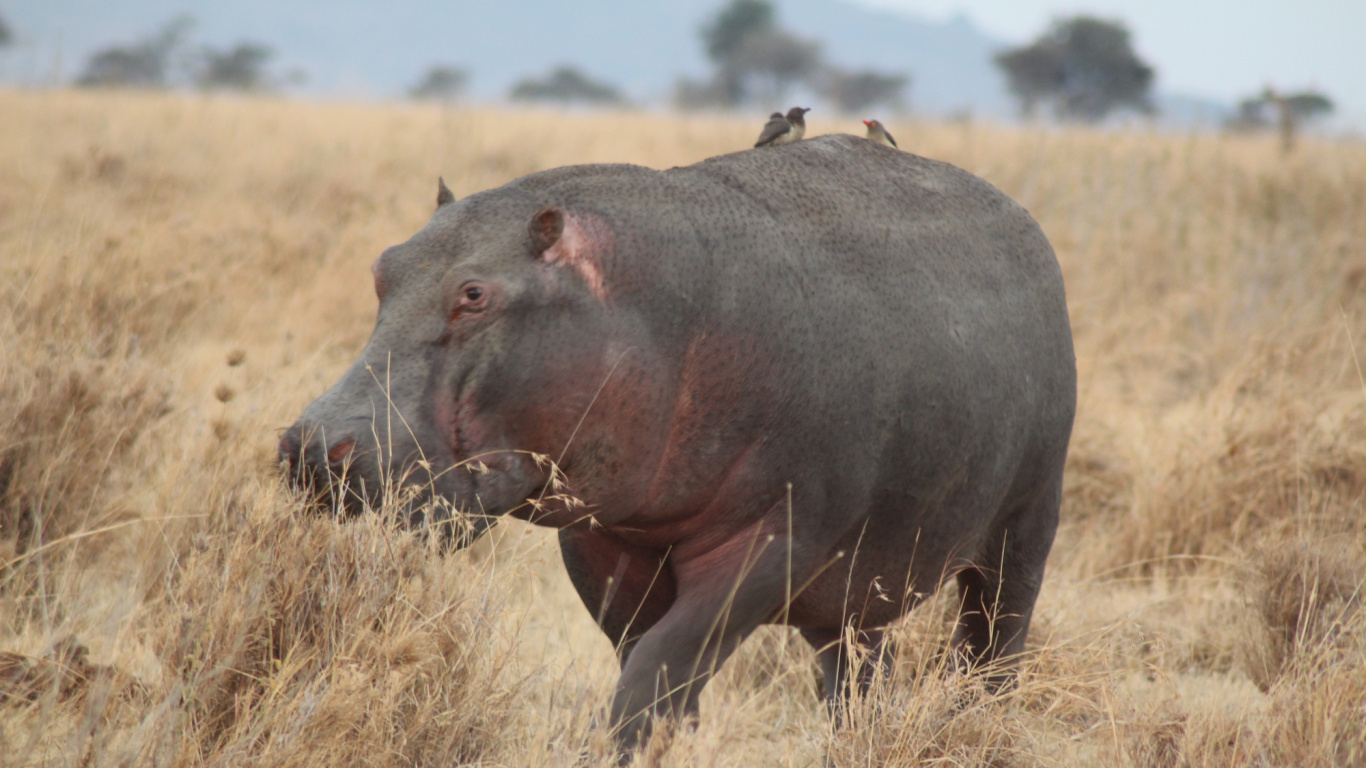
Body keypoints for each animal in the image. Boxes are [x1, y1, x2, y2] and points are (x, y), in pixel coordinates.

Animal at [280, 134, 1076, 752]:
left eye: (475, 295)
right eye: (383, 267)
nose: (314, 447)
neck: (644, 303)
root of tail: (1027, 225)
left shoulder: (770, 543)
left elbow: (660, 667)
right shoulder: (603, 541)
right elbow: (649, 665)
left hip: (1024, 527)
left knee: (994, 645)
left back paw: (979, 723)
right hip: (860, 577)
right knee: (855, 671)